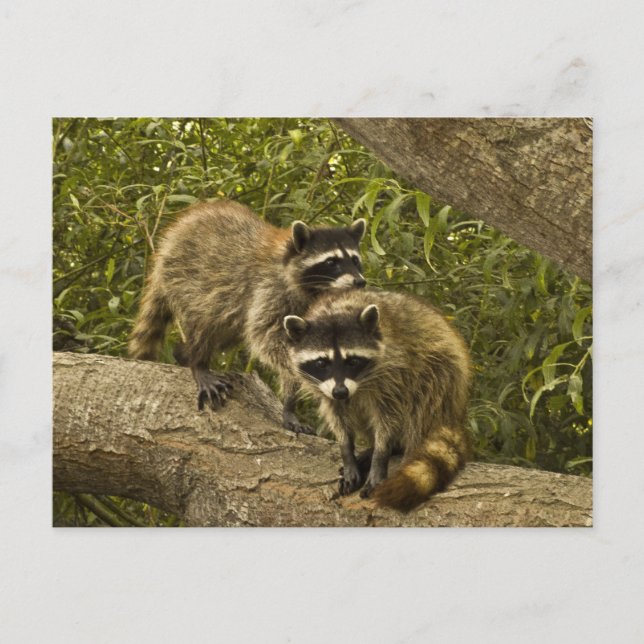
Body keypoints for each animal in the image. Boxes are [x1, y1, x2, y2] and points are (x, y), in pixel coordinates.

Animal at [129, 200, 366, 433]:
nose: (360, 282)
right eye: (332, 262)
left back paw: (182, 353)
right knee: (203, 320)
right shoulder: (269, 289)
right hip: (187, 276)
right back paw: (198, 362)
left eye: (355, 260)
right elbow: (267, 338)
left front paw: (290, 403)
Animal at [283, 289, 472, 511]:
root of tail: (456, 411)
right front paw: (347, 452)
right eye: (322, 363)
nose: (341, 392)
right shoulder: (326, 389)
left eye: (353, 361)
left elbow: (388, 418)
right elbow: (337, 416)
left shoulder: (394, 372)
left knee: (423, 402)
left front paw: (380, 455)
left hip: (442, 372)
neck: (335, 311)